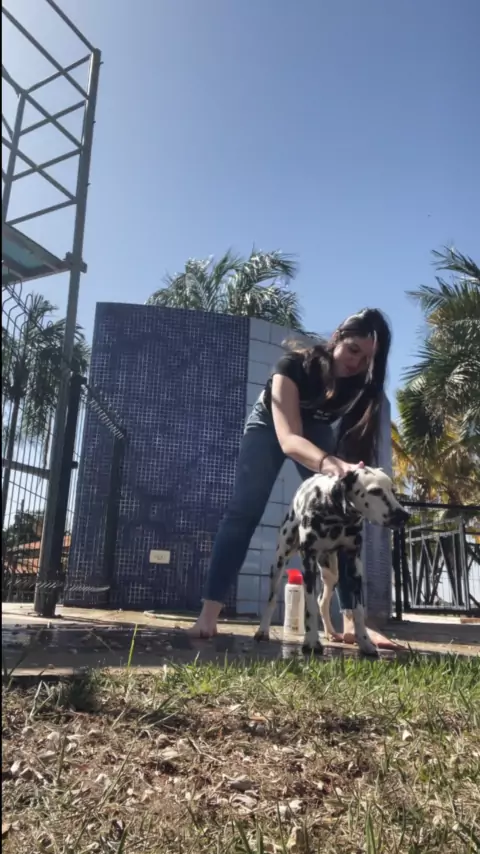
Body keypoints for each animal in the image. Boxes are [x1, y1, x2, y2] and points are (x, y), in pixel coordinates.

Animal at [254, 467, 410, 656]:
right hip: (280, 561)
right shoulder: (308, 561)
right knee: (273, 597)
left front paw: (365, 643)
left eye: (393, 491)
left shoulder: (354, 565)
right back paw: (263, 630)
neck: (335, 513)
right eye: (375, 491)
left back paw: (330, 633)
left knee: (323, 602)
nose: (404, 515)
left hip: (331, 574)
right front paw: (311, 641)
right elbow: (310, 606)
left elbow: (358, 610)